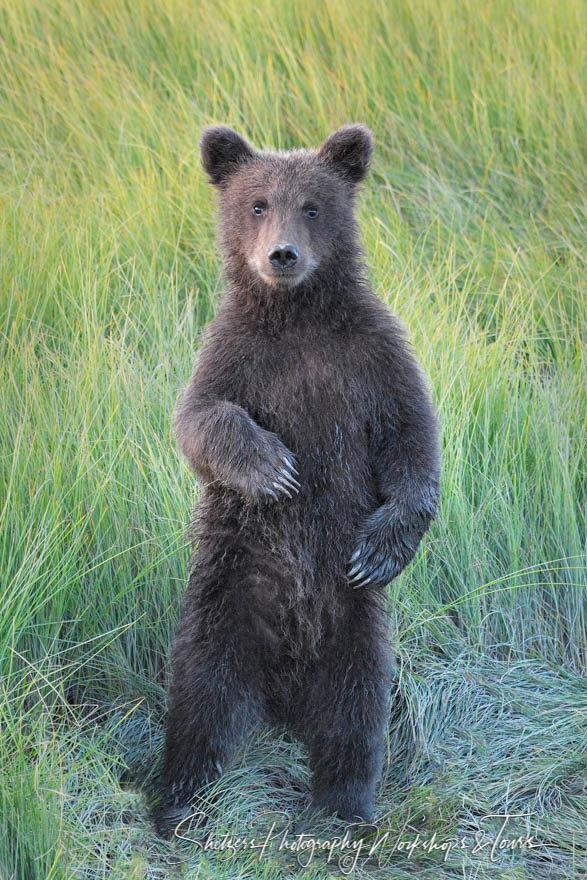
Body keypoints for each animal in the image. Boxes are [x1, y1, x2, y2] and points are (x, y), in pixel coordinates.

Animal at [155, 124, 440, 840]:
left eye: (312, 206)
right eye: (257, 204)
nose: (281, 255)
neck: (298, 316)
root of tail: (282, 689)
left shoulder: (371, 357)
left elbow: (412, 438)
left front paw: (382, 547)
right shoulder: (237, 354)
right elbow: (201, 418)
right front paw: (275, 468)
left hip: (353, 621)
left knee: (355, 704)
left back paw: (347, 802)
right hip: (226, 593)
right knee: (201, 691)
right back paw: (177, 793)